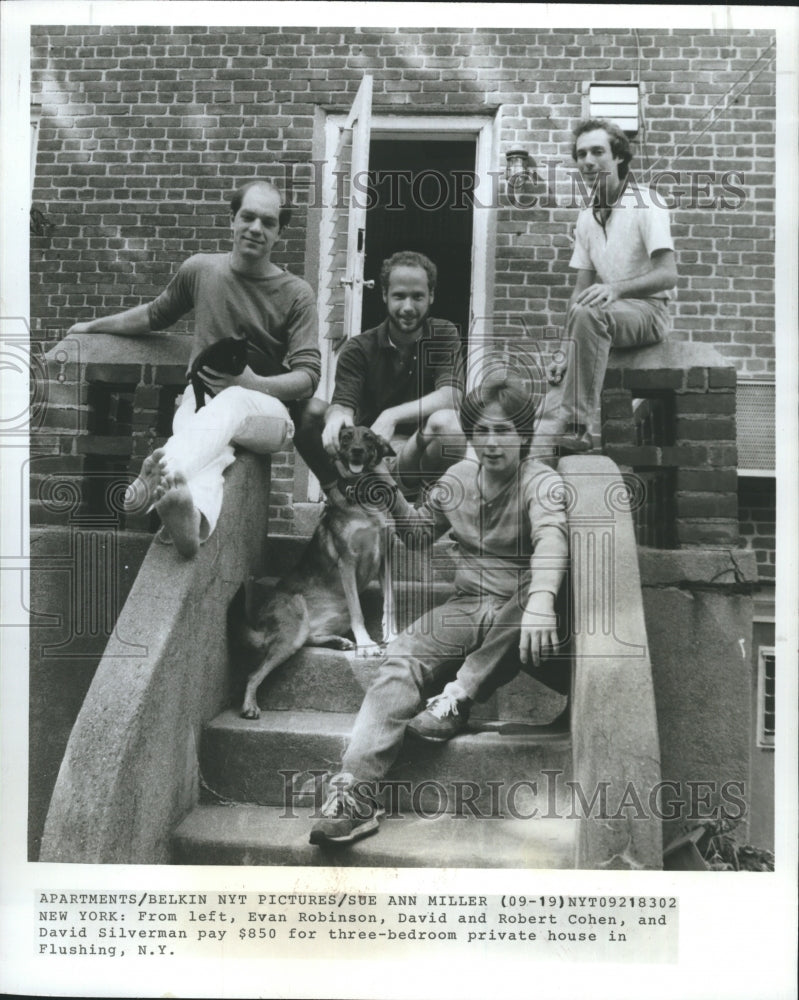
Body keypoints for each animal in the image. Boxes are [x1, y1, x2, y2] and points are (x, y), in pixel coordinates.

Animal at [238, 422, 400, 720]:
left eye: (369, 438)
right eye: (345, 438)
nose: (357, 451)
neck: (365, 500)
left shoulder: (385, 558)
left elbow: (389, 603)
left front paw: (391, 636)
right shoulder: (347, 561)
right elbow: (360, 613)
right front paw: (367, 644)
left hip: (327, 619)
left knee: (309, 638)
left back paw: (340, 642)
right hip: (292, 629)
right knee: (255, 673)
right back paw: (250, 705)